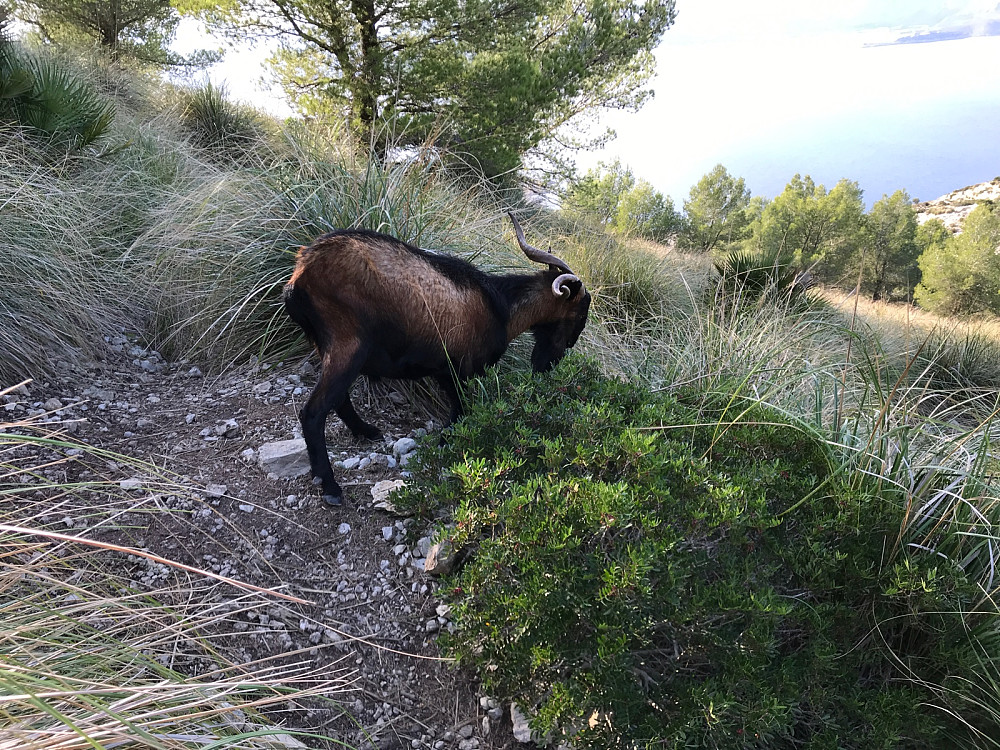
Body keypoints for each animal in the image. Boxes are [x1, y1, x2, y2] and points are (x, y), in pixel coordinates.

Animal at [282, 213, 588, 506]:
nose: (550, 362)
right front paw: (446, 446)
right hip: (348, 344)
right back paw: (330, 486)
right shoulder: (457, 370)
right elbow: (460, 411)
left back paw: (367, 431)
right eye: (581, 311)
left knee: (339, 399)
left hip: (326, 345)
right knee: (314, 411)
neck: (500, 307)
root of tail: (301, 273)